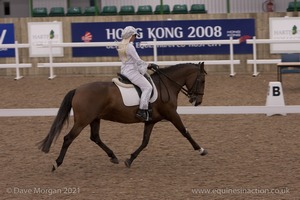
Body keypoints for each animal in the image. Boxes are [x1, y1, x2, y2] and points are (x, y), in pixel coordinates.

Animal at [38, 61, 207, 171]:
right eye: (203, 80)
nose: (197, 101)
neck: (165, 85)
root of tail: (77, 90)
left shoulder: (150, 121)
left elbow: (145, 142)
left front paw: (129, 160)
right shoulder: (172, 114)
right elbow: (185, 132)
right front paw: (201, 150)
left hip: (95, 119)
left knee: (95, 137)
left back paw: (113, 156)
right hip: (83, 121)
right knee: (68, 138)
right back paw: (57, 163)